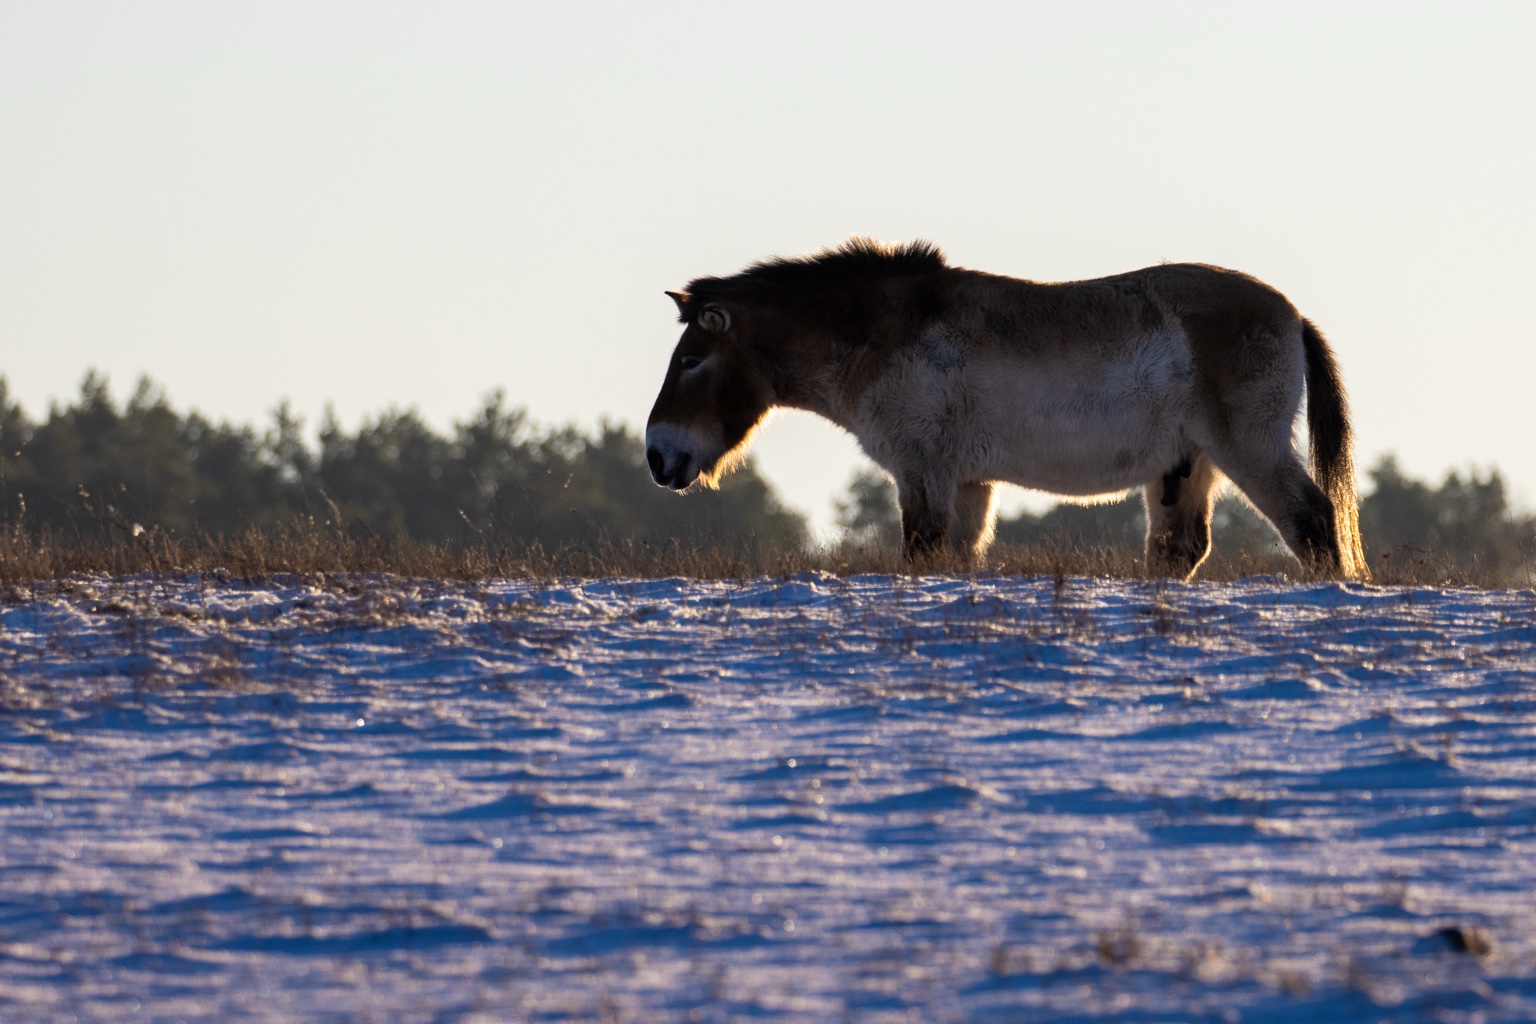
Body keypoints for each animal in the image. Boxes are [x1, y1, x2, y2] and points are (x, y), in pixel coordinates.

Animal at [645, 237, 1368, 580]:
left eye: (692, 360)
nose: (657, 455)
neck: (881, 333)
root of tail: (1291, 315)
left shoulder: (924, 474)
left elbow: (923, 553)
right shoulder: (966, 483)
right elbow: (955, 558)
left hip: (1251, 451)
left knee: (1313, 524)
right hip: (1190, 469)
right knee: (1180, 551)